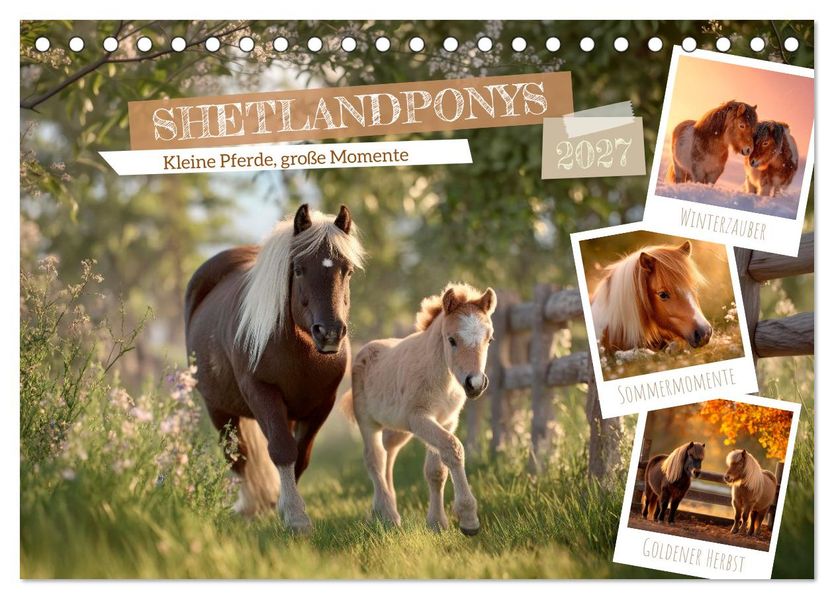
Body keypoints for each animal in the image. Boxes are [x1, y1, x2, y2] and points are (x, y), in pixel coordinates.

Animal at [184, 204, 365, 533]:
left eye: (347, 270)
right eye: (298, 269)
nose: (329, 333)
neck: (301, 350)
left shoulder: (321, 404)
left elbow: (300, 457)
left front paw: (287, 507)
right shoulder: (262, 393)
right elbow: (281, 450)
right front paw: (295, 517)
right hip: (218, 408)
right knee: (237, 456)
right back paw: (248, 506)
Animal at [342, 283, 496, 535]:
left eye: (490, 339)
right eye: (451, 340)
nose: (475, 384)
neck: (442, 379)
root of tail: (365, 350)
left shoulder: (447, 421)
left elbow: (436, 471)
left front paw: (437, 523)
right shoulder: (420, 418)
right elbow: (453, 448)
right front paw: (468, 520)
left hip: (398, 429)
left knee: (388, 454)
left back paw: (379, 511)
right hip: (368, 421)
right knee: (374, 458)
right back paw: (390, 516)